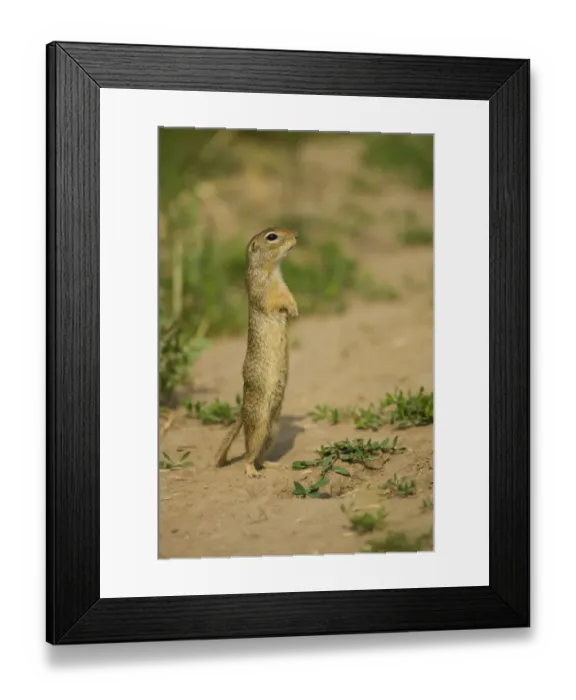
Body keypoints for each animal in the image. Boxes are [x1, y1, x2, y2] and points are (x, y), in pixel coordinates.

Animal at [215, 226, 299, 477]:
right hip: (260, 423)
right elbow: (275, 301)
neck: (272, 270)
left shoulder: (284, 286)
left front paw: (295, 310)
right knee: (248, 453)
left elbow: (290, 296)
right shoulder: (264, 291)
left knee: (260, 454)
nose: (296, 236)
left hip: (273, 427)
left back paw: (274, 464)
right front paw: (292, 310)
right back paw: (252, 471)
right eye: (272, 236)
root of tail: (243, 410)